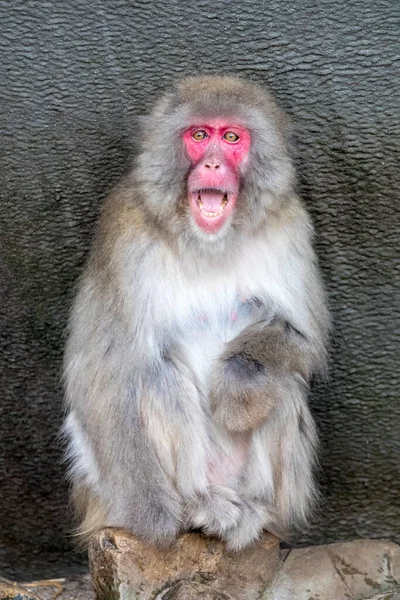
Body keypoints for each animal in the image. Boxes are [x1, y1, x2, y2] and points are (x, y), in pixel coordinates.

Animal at [64, 76, 330, 552]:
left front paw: (238, 386)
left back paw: (257, 509)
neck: (209, 242)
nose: (212, 164)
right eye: (200, 135)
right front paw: (154, 517)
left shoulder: (291, 227)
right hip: (106, 495)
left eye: (232, 138)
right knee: (155, 378)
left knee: (283, 385)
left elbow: (303, 339)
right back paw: (194, 506)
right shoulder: (123, 237)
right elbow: (102, 371)